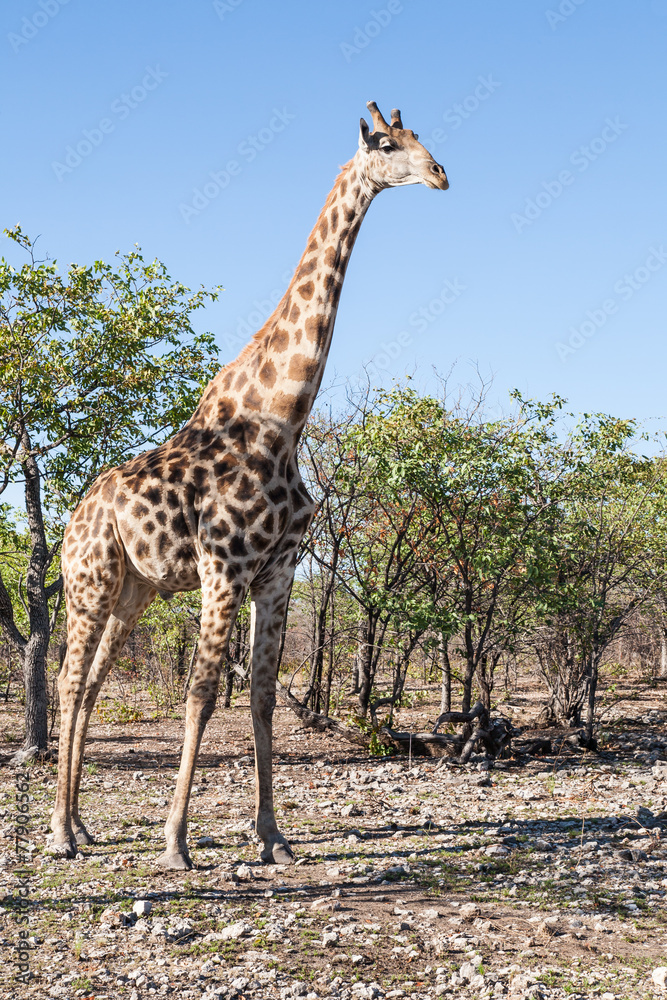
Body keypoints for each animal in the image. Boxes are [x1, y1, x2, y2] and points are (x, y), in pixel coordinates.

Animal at [50, 101, 449, 870]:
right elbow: (204, 691)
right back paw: (58, 833)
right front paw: (176, 842)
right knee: (67, 680)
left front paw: (272, 835)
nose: (441, 174)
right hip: (89, 581)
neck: (283, 418)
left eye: (422, 139)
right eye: (388, 143)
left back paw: (82, 826)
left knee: (92, 685)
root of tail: (70, 520)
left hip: (133, 589)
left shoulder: (278, 573)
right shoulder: (223, 567)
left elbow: (262, 696)